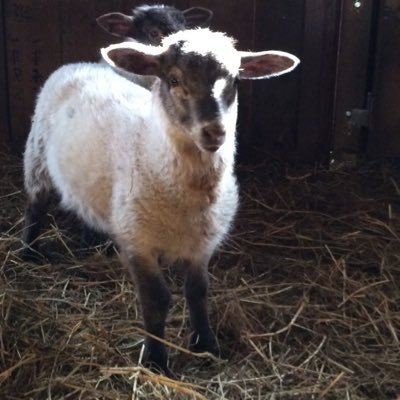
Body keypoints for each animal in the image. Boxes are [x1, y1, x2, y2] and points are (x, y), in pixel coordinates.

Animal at [21, 28, 296, 376]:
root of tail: (79, 64)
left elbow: (198, 293)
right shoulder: (139, 243)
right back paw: (29, 252)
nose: (215, 132)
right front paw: (155, 359)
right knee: (36, 206)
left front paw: (206, 345)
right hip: (37, 155)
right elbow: (157, 300)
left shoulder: (201, 245)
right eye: (174, 79)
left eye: (235, 80)